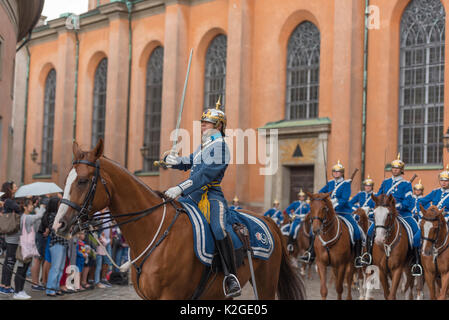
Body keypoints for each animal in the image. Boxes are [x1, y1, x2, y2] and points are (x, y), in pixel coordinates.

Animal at [50, 140, 306, 300]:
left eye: (83, 180)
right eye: (67, 179)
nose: (58, 224)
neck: (153, 231)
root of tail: (266, 220)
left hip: (265, 284)